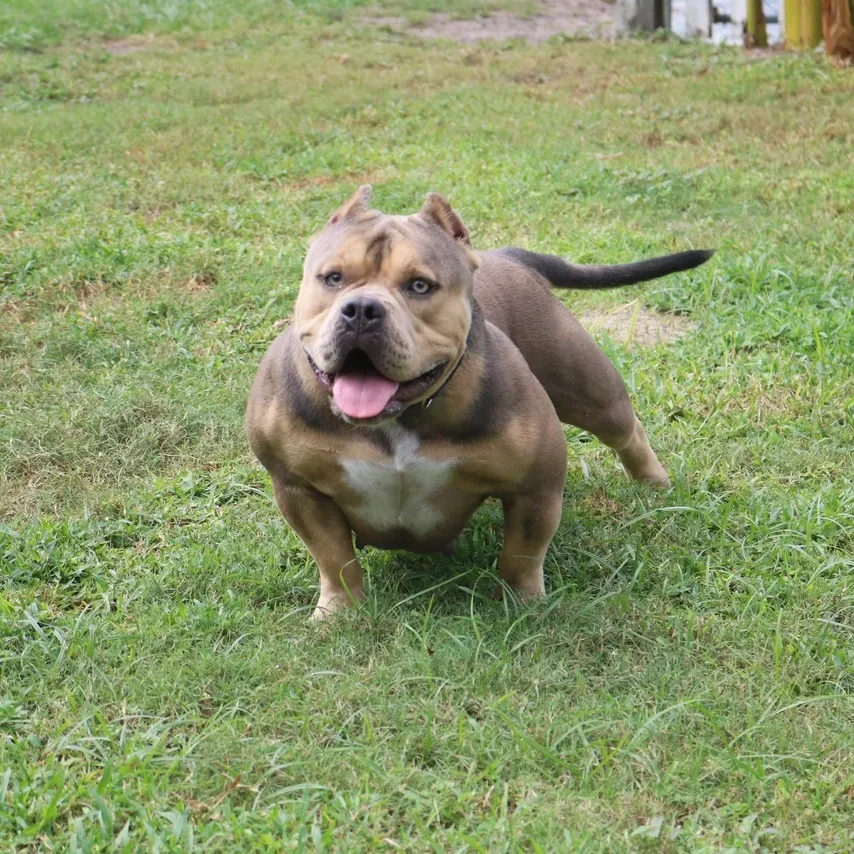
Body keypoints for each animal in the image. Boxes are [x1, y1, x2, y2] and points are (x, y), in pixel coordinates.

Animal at [249, 187, 716, 620]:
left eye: (420, 286)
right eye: (333, 278)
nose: (361, 309)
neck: (399, 418)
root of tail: (509, 257)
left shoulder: (535, 488)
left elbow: (521, 556)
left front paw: (522, 605)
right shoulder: (297, 489)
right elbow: (334, 558)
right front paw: (339, 611)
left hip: (591, 392)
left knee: (626, 430)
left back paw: (653, 482)